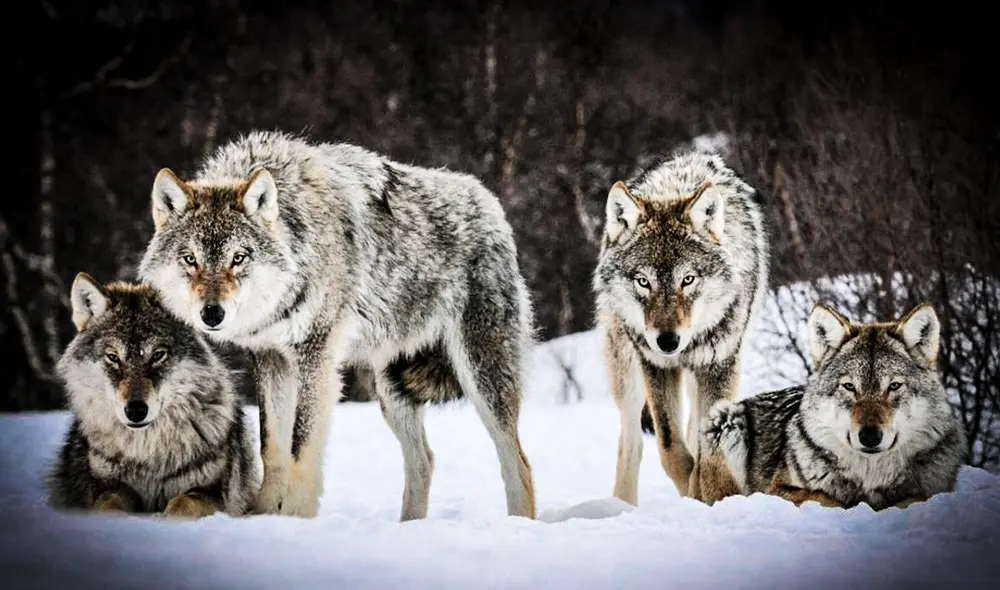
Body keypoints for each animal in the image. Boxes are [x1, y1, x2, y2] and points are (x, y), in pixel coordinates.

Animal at [49, 274, 259, 517]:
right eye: (113, 357)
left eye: (158, 355)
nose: (135, 410)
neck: (147, 454)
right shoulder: (107, 486)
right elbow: (108, 505)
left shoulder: (212, 493)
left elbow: (182, 503)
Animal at [137, 131, 536, 520]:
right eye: (190, 259)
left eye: (238, 258)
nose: (212, 314)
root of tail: (490, 203)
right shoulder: (270, 358)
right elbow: (272, 447)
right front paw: (264, 515)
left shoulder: (316, 357)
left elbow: (300, 447)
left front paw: (295, 517)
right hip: (392, 391)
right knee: (424, 461)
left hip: (481, 376)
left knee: (518, 463)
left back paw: (518, 523)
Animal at [593, 151, 769, 505]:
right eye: (643, 282)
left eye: (687, 279)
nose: (668, 341)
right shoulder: (656, 365)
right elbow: (671, 448)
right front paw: (692, 491)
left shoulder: (720, 365)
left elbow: (706, 449)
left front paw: (707, 495)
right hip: (627, 372)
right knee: (631, 442)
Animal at [698, 302, 968, 510]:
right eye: (849, 387)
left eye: (893, 386)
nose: (870, 436)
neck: (870, 477)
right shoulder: (777, 489)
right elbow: (827, 498)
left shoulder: (936, 488)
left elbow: (916, 497)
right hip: (726, 420)